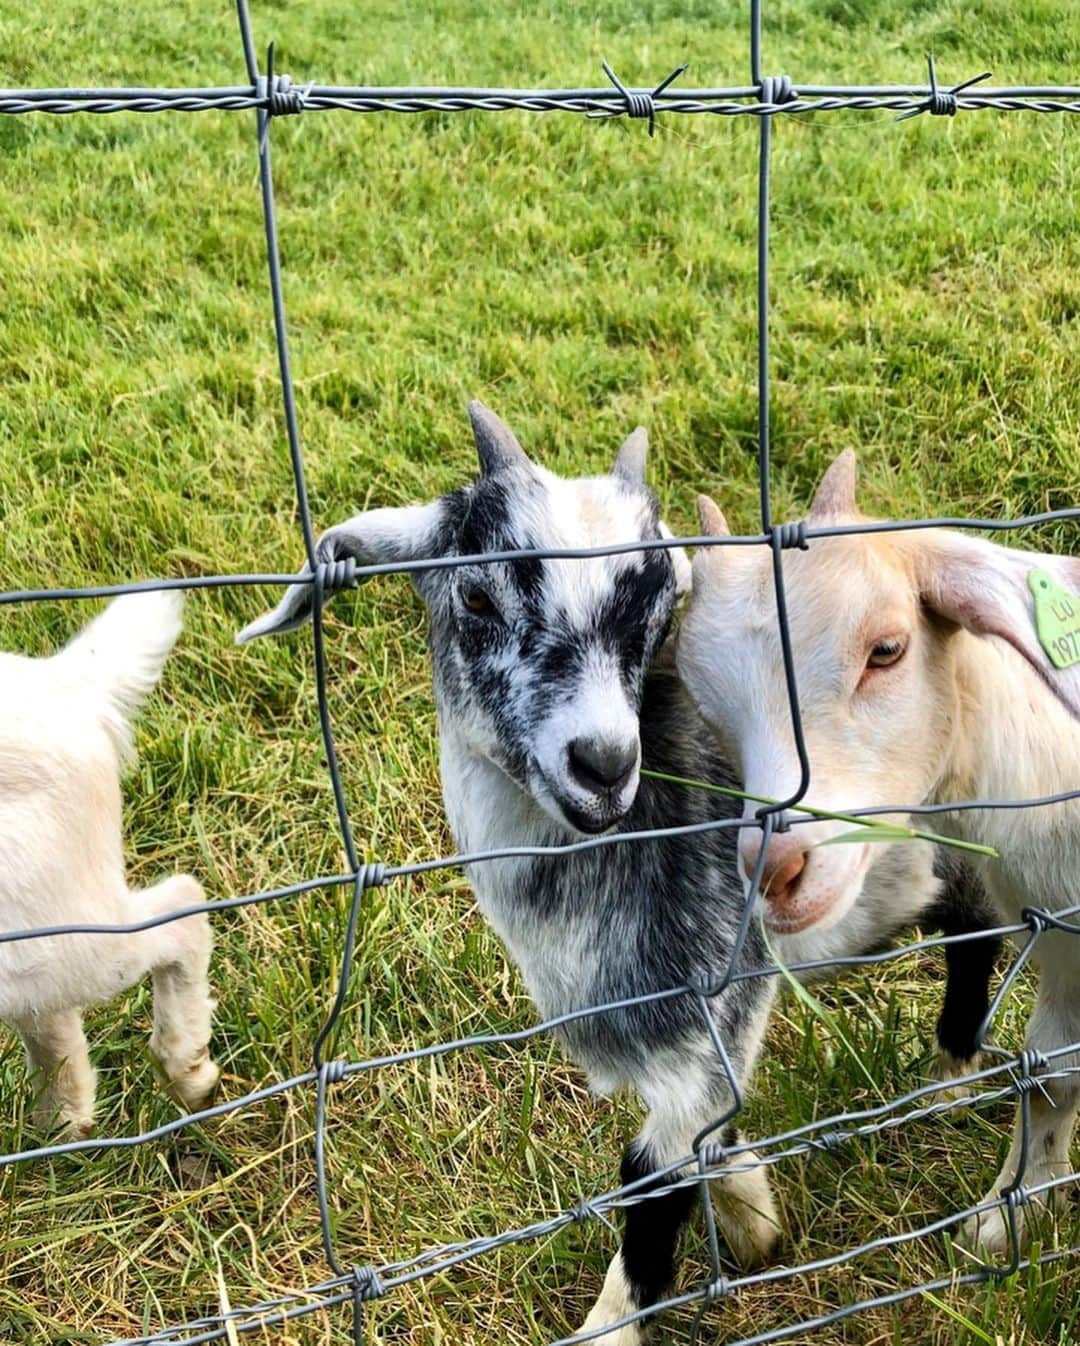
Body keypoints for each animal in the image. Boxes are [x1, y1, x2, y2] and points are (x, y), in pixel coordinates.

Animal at [0, 597, 218, 1136]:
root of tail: (65, 682)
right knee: (54, 1029)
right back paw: (61, 1131)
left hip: (55, 931)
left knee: (184, 905)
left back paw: (186, 1073)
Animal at [239, 409, 996, 1346]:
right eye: (476, 598)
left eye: (662, 609)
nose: (603, 764)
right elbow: (707, 1141)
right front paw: (754, 1209)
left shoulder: (713, 1000)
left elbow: (648, 1174)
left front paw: (622, 1315)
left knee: (977, 930)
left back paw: (955, 1078)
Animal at [673, 449, 1077, 1249]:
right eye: (708, 706)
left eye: (887, 650)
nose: (776, 873)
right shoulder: (1059, 937)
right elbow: (1053, 1071)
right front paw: (1014, 1213)